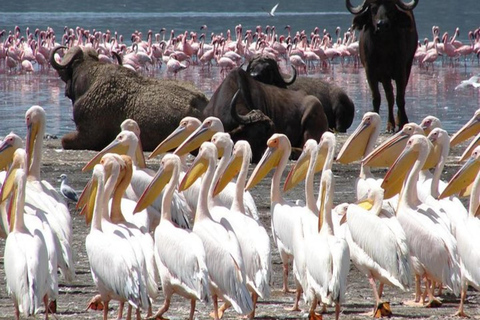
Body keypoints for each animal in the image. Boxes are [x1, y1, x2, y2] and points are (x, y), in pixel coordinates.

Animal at [346, 0, 418, 132]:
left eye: (391, 8)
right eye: (373, 8)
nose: (382, 24)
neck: (384, 49)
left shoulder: (401, 70)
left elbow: (400, 97)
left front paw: (403, 121)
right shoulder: (371, 72)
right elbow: (377, 97)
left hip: (408, 66)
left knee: (399, 94)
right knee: (389, 96)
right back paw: (391, 124)